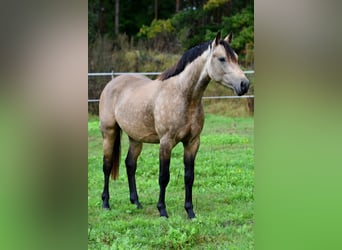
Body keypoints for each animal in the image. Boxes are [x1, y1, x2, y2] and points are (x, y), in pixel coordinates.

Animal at [99, 31, 248, 219]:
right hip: (109, 132)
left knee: (130, 165)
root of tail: (112, 83)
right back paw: (105, 203)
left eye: (236, 57)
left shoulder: (192, 142)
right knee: (107, 166)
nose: (244, 84)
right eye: (222, 58)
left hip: (135, 138)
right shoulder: (166, 142)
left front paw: (190, 211)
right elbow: (164, 176)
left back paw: (136, 203)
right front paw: (162, 210)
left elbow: (189, 176)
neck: (184, 96)